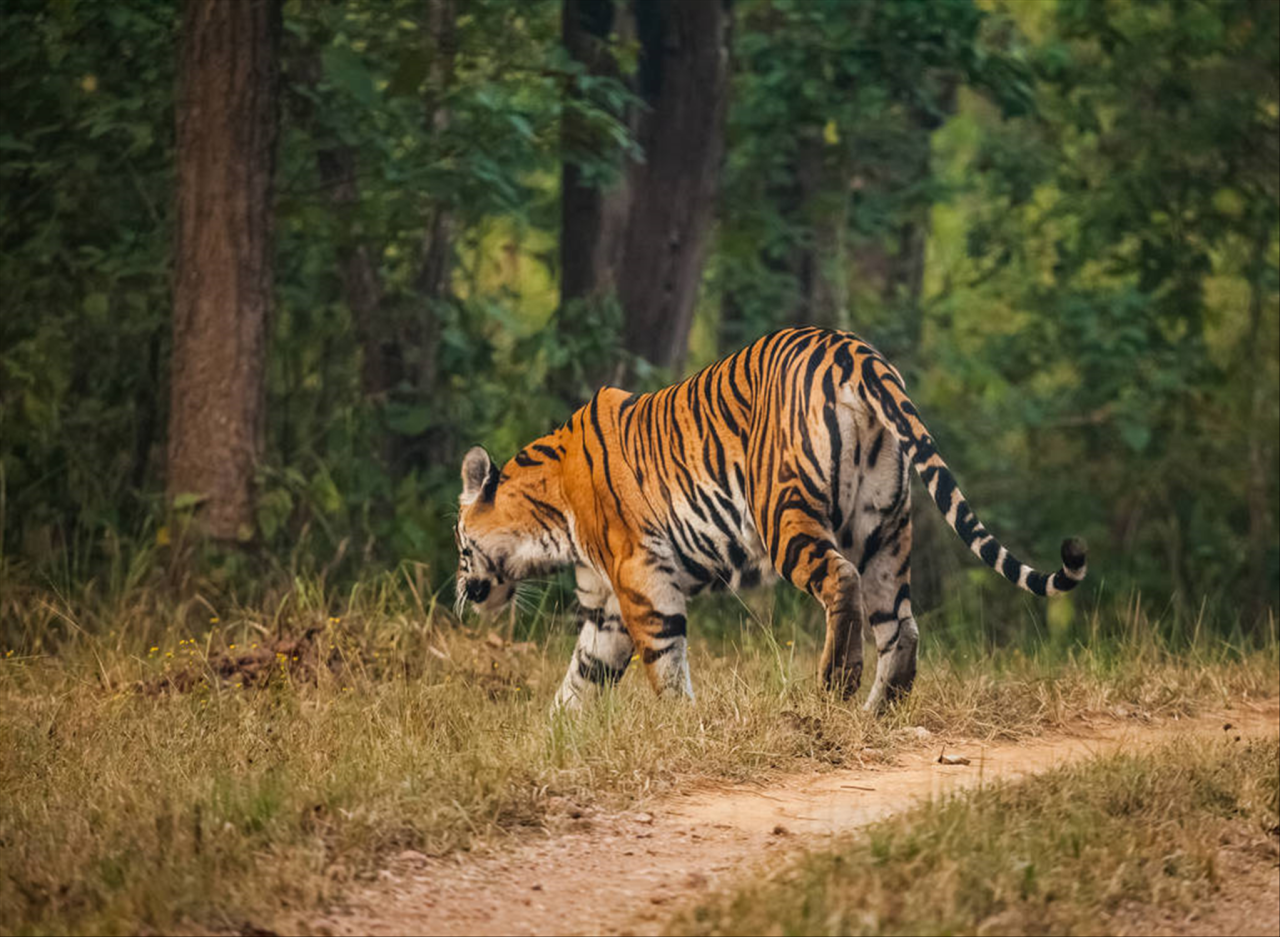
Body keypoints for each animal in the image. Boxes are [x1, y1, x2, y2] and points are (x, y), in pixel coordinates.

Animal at [455, 327, 1085, 711]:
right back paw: (879, 712)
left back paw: (836, 684)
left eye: (460, 546)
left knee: (841, 582)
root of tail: (855, 350)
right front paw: (551, 740)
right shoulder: (607, 604)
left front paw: (681, 723)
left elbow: (663, 662)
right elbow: (580, 678)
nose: (461, 591)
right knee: (901, 625)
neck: (550, 521)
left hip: (782, 514)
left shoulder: (640, 578)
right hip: (883, 525)